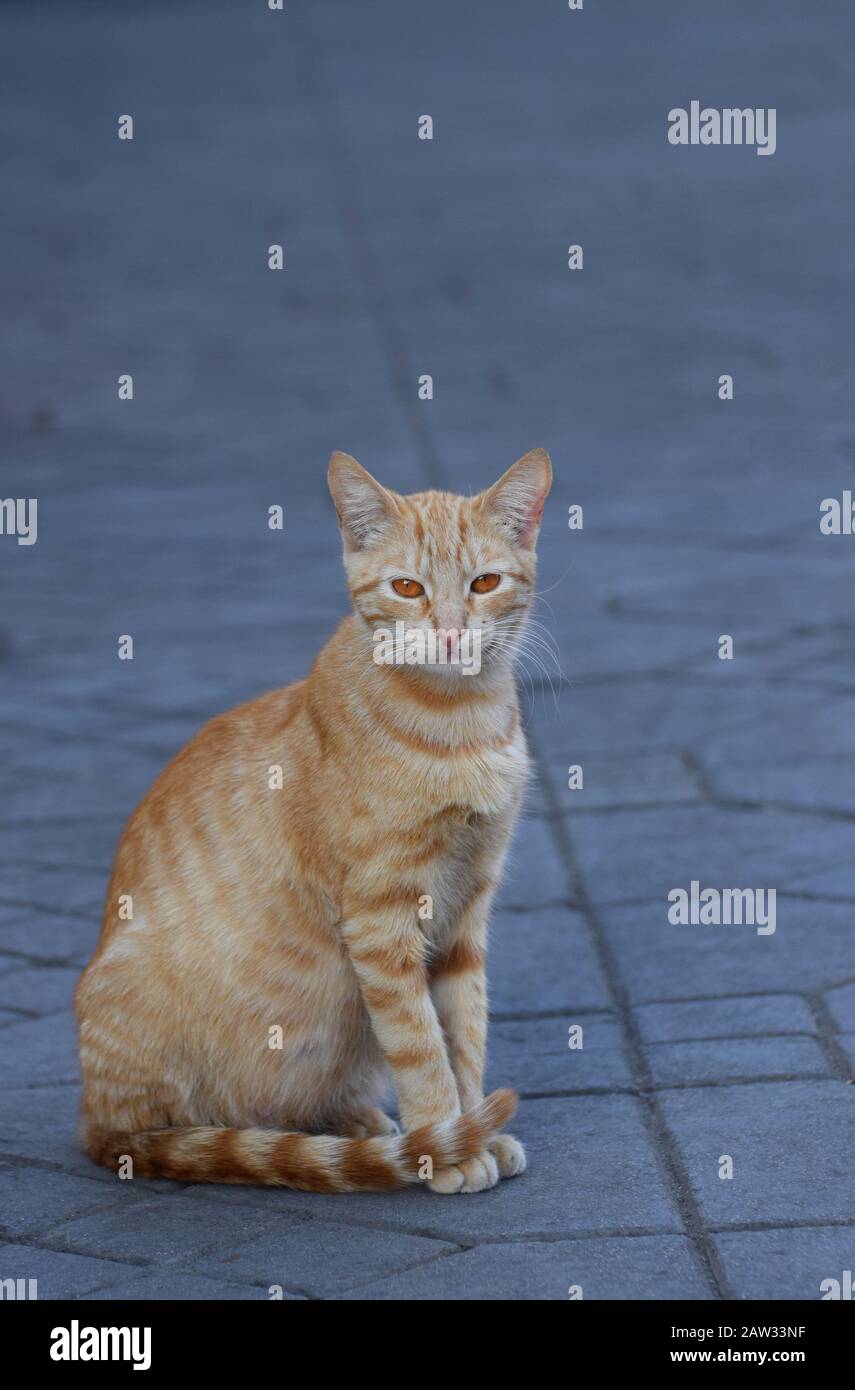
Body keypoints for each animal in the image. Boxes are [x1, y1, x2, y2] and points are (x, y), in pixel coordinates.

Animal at [76, 447, 553, 1195]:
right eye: (408, 588)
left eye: (484, 582)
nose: (450, 634)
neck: (460, 722)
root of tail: (94, 1122)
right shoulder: (380, 918)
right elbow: (420, 1044)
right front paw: (446, 1144)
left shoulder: (466, 908)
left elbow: (465, 1029)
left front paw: (470, 1123)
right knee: (174, 1131)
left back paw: (357, 1125)